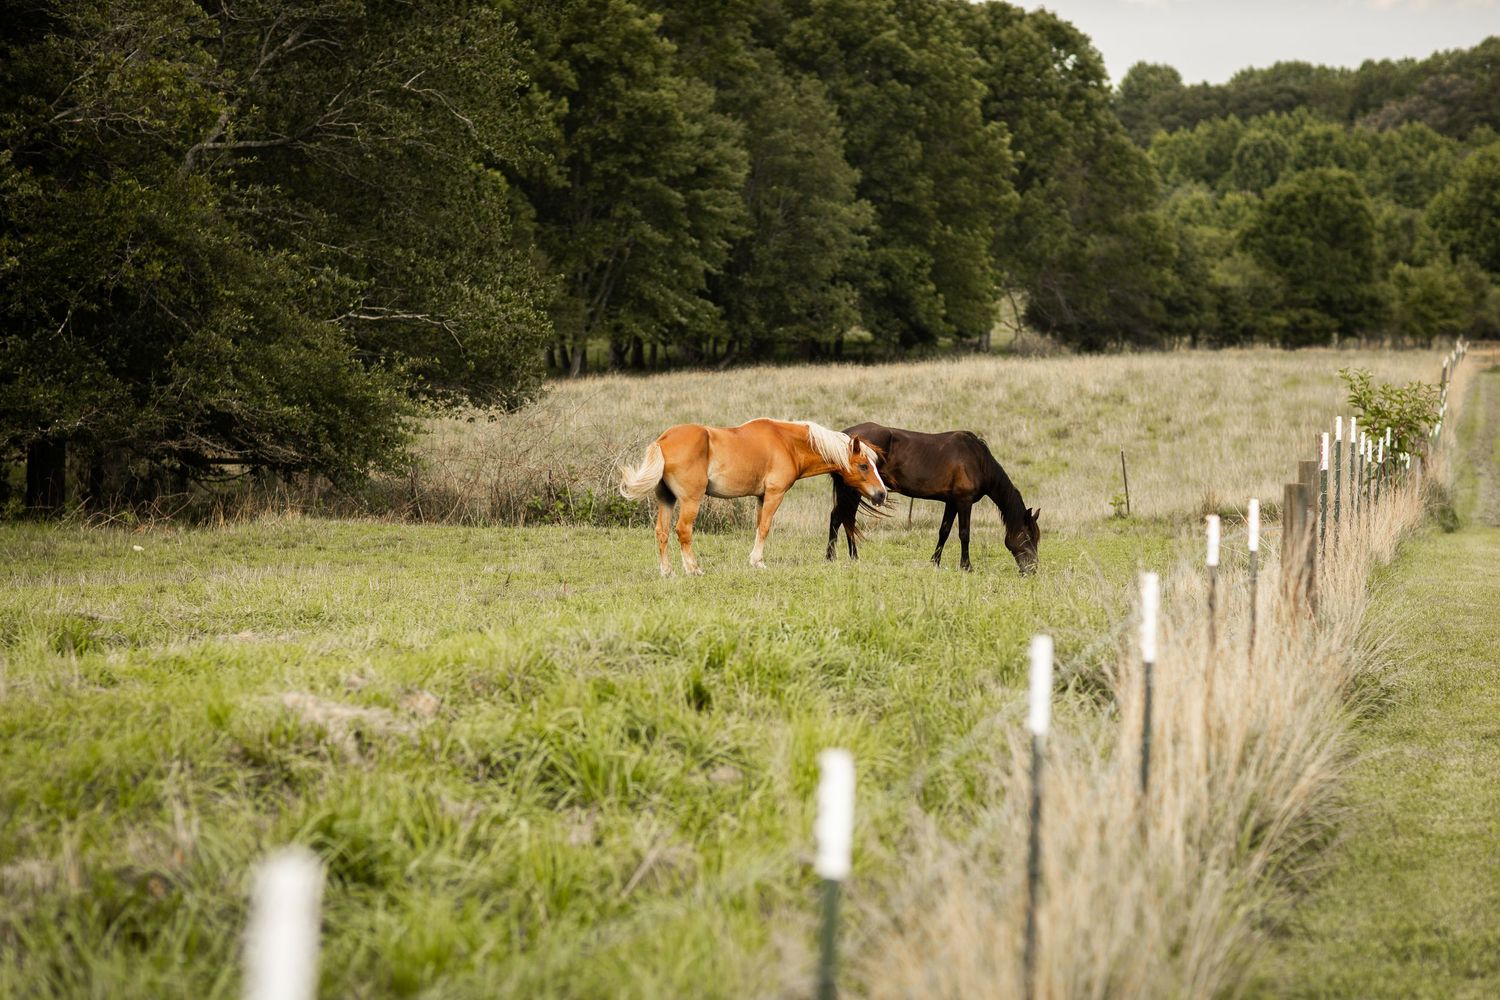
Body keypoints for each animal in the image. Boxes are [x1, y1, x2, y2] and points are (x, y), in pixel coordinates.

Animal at [620, 418, 888, 576]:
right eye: (864, 465)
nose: (882, 494)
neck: (786, 442)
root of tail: (663, 440)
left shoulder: (761, 497)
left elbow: (759, 526)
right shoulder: (774, 495)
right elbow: (765, 527)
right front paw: (757, 562)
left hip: (667, 500)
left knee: (662, 532)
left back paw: (667, 571)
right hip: (690, 501)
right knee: (683, 530)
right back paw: (693, 569)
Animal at [826, 422, 1040, 574]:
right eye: (1028, 536)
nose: (1032, 570)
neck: (978, 460)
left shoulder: (952, 502)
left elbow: (944, 531)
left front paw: (935, 562)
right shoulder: (964, 501)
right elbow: (964, 533)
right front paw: (966, 566)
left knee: (845, 520)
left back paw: (850, 558)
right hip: (852, 491)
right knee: (840, 519)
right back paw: (833, 558)